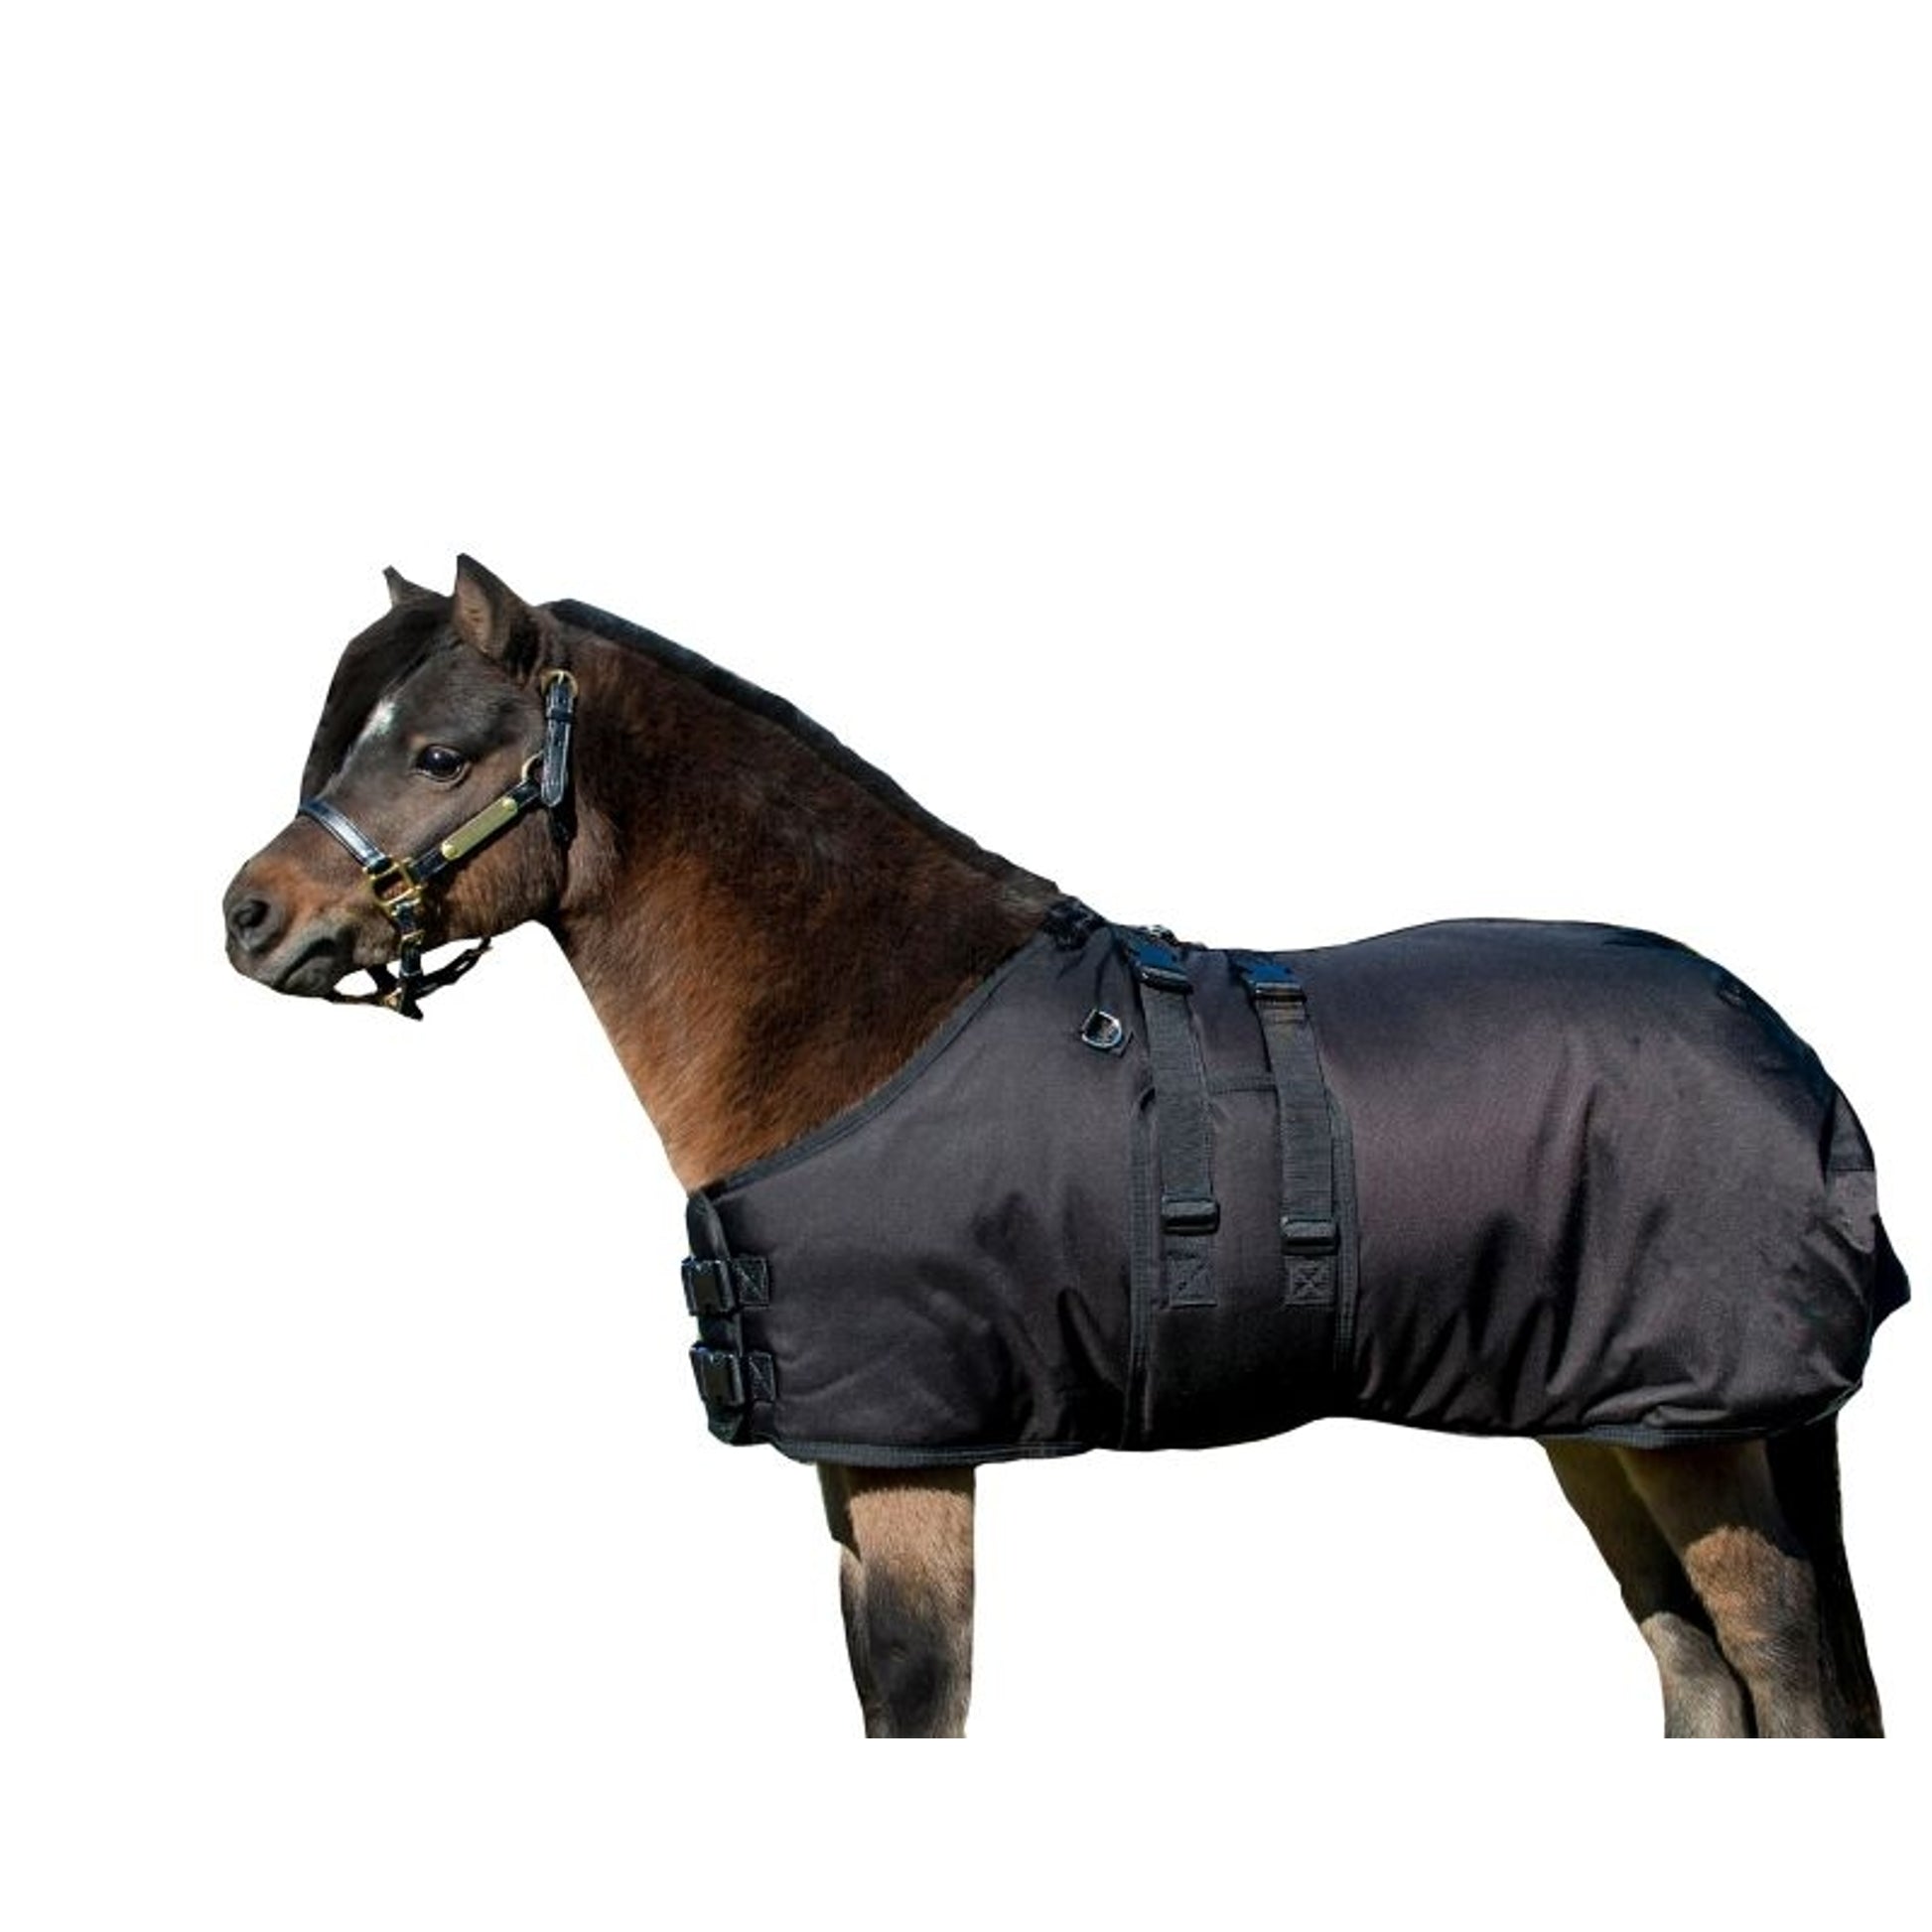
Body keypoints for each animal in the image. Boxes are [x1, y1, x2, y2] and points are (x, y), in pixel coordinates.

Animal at [223, 556, 1907, 1738]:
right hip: (1600, 1422)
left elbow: (922, 1701)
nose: (251, 914)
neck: (867, 1016)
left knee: (1779, 1672)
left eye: (443, 755)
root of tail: (1780, 1048)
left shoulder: (913, 1456)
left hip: (1690, 1432)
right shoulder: (862, 1460)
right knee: (1699, 1675)